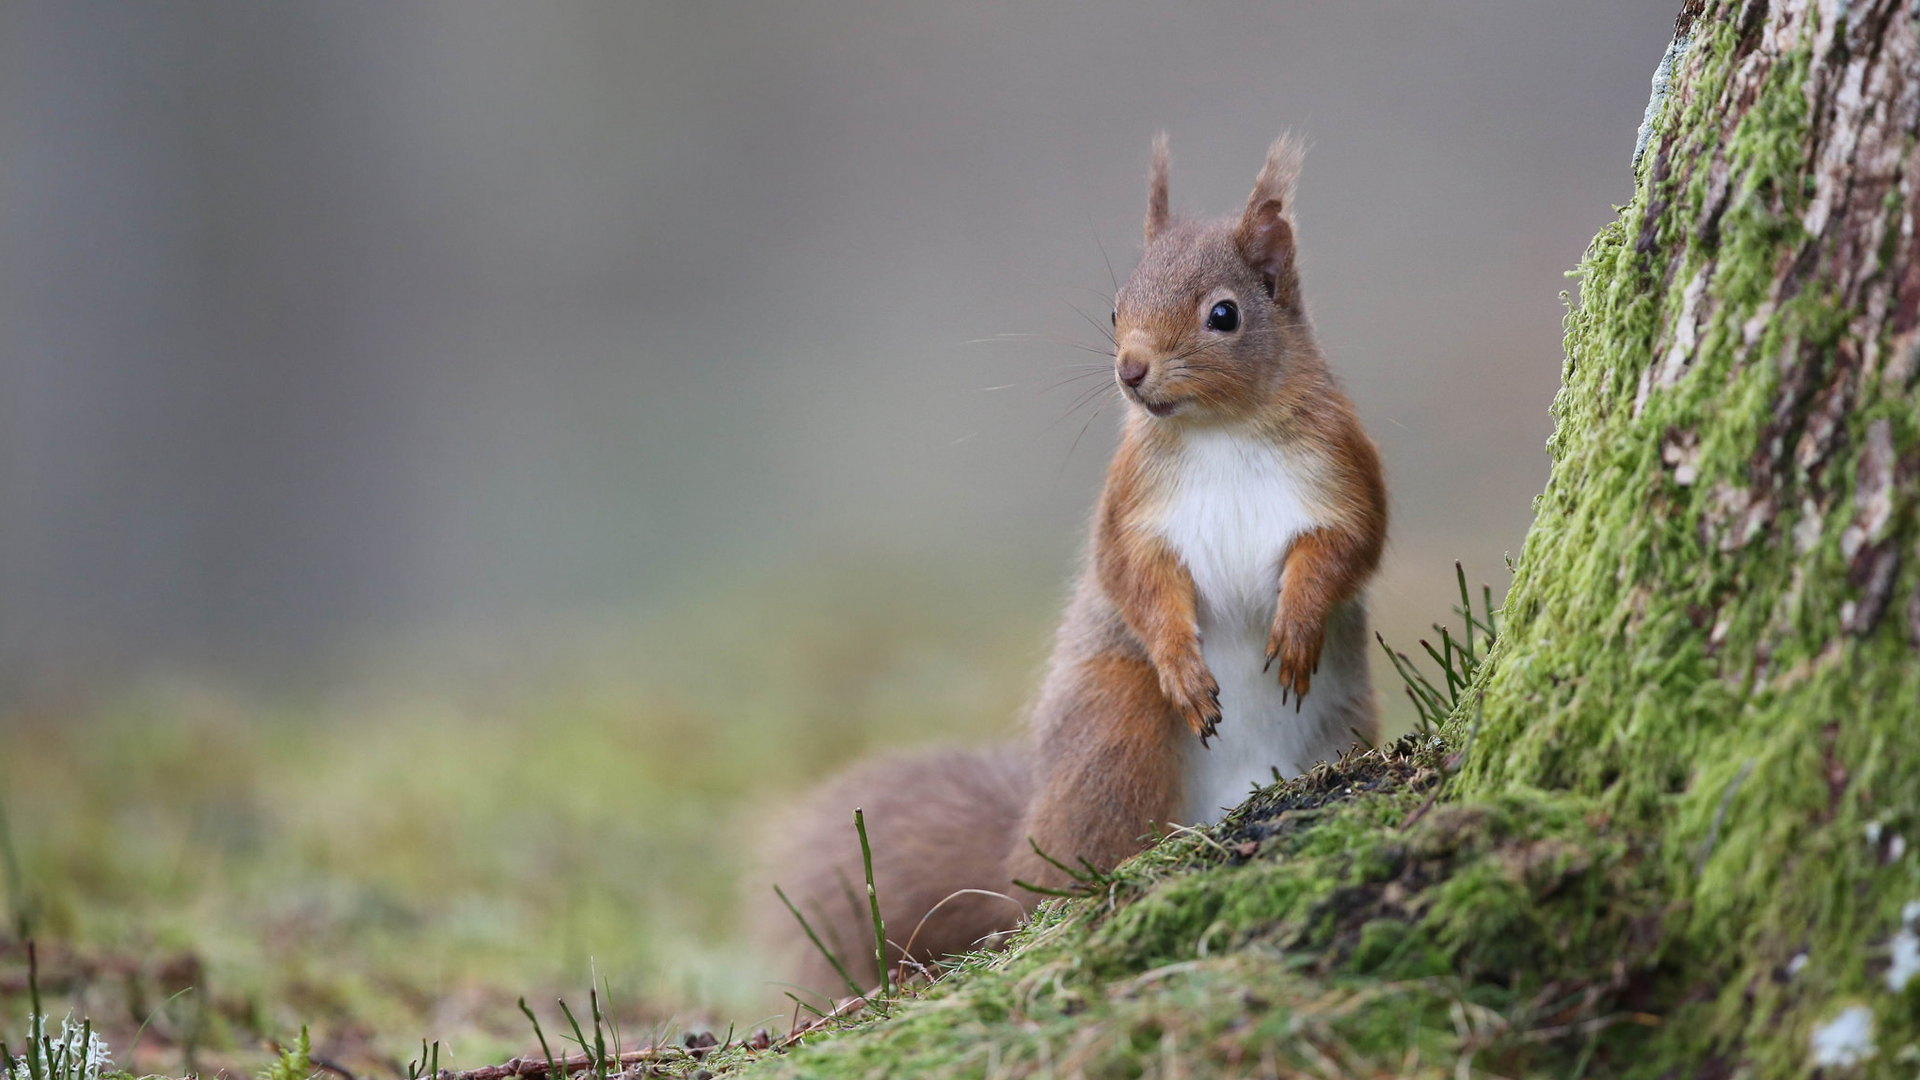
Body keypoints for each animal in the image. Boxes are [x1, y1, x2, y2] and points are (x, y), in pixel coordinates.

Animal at [760, 134, 1382, 991]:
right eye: (1117, 307)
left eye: (1224, 314)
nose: (1131, 370)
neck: (1223, 432)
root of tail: (1015, 859)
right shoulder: (1132, 508)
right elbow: (1133, 579)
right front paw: (1183, 663)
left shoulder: (1343, 471)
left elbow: (1346, 550)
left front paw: (1296, 626)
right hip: (1117, 719)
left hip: (1342, 728)